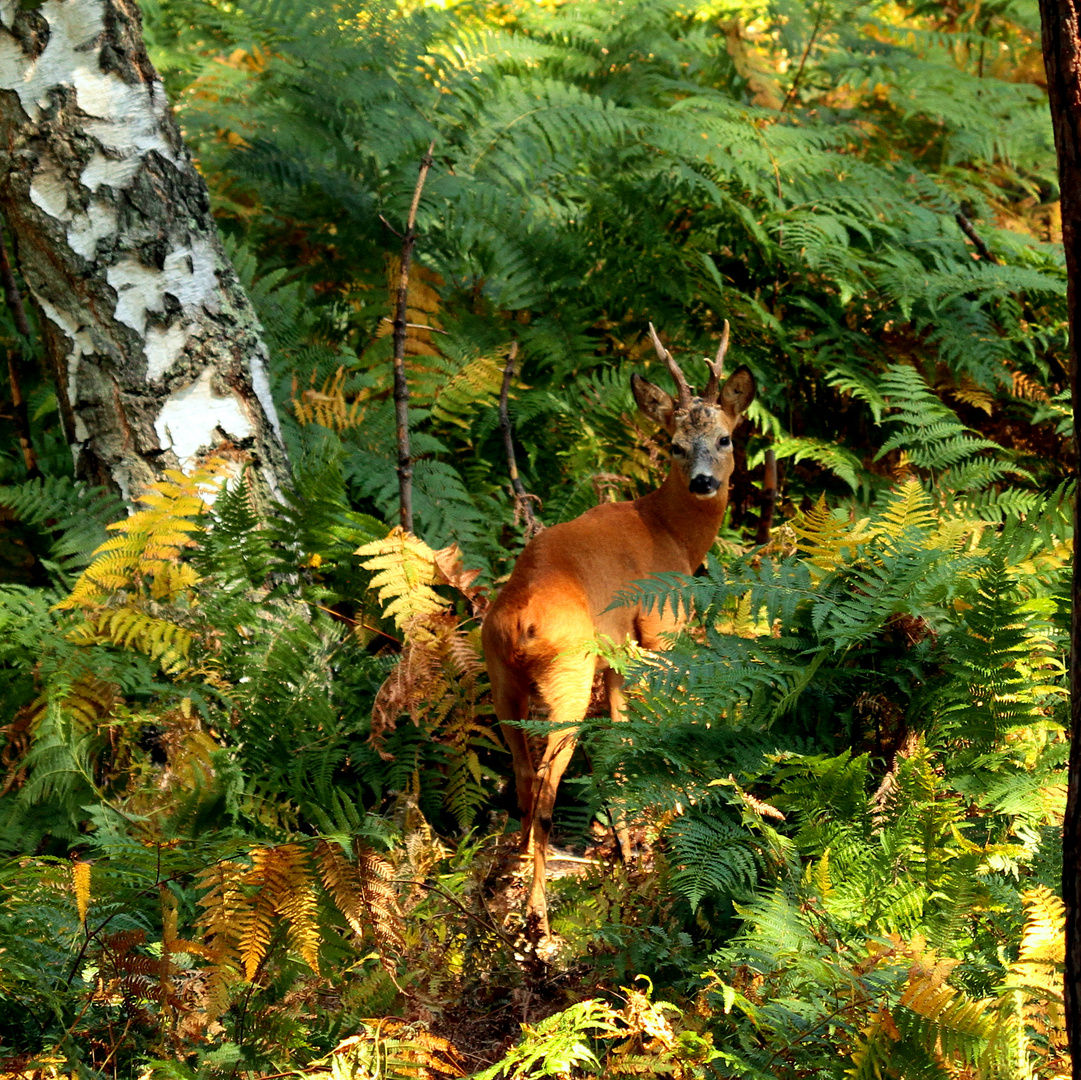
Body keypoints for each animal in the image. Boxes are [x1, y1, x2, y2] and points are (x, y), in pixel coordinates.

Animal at [486, 317, 756, 938]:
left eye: (725, 439)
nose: (704, 482)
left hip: (501, 680)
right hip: (566, 674)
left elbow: (622, 731)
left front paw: (629, 843)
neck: (670, 531)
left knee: (519, 774)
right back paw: (538, 911)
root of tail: (519, 618)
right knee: (545, 782)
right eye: (675, 445)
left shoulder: (617, 649)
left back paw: (510, 877)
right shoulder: (659, 626)